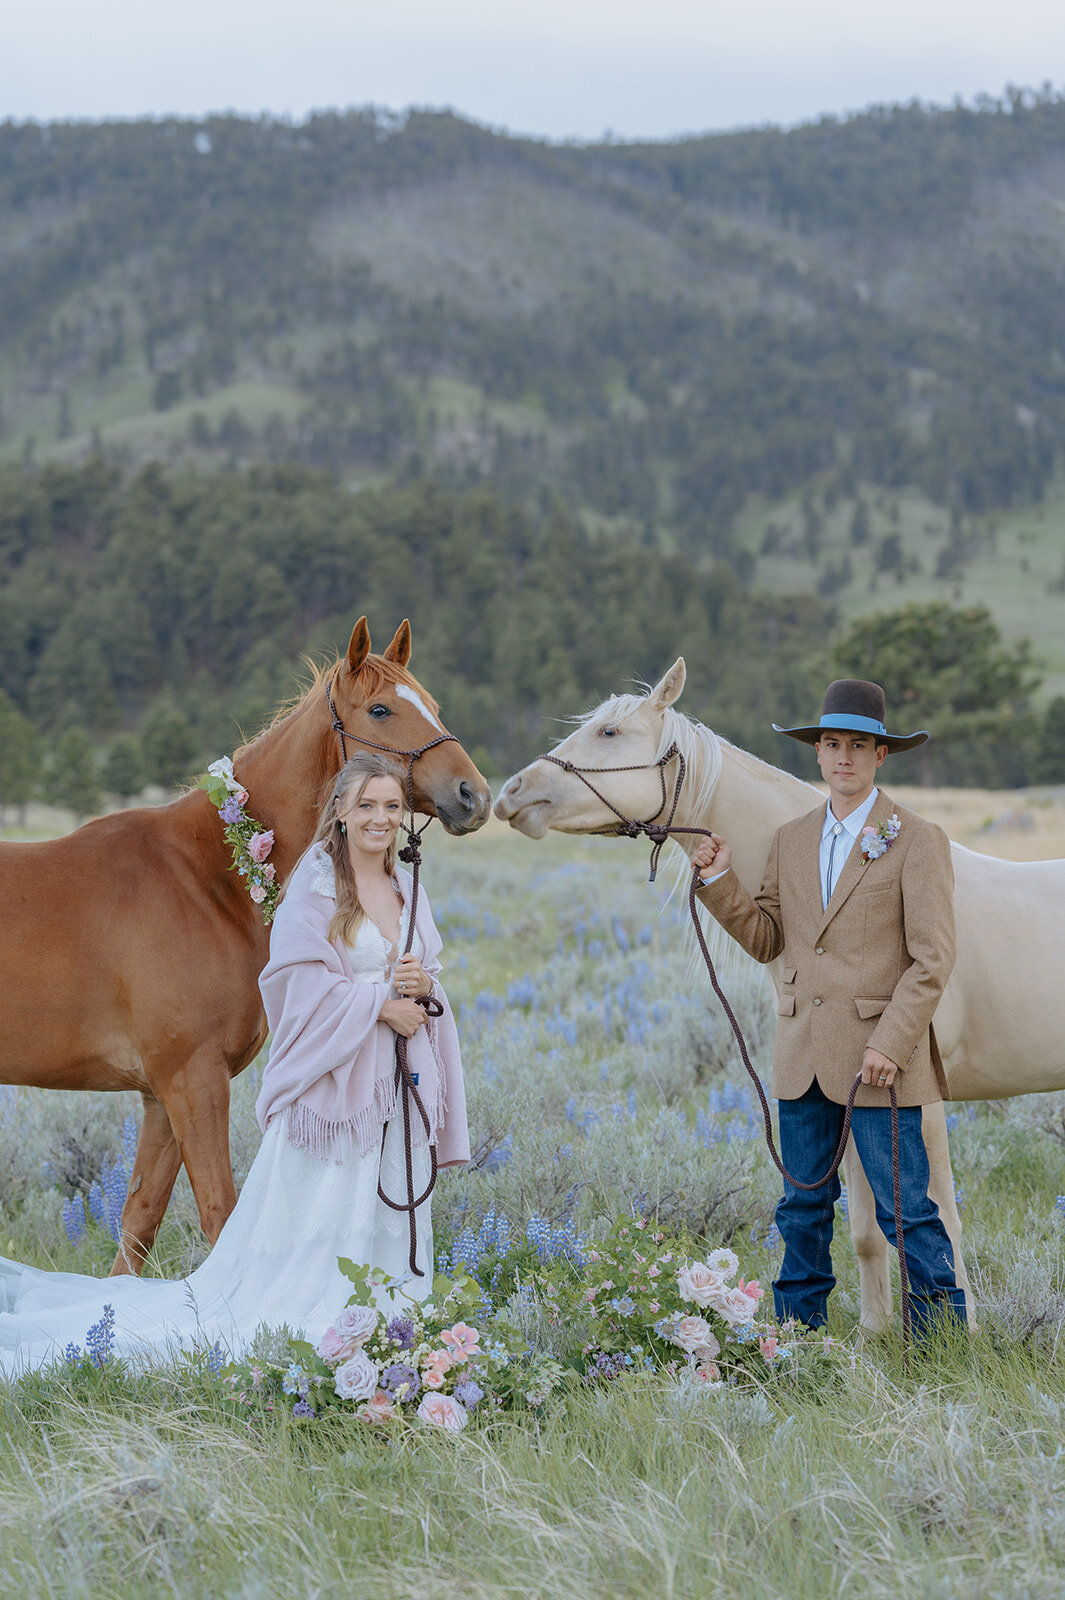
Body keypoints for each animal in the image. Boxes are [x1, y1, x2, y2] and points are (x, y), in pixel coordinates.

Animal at [0, 614, 489, 1273]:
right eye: (381, 709)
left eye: (432, 705)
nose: (474, 795)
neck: (209, 877)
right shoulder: (192, 1080)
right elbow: (220, 1219)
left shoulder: (159, 1095)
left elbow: (138, 1225)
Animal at [492, 656, 1061, 1331]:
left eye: (609, 732)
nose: (510, 794)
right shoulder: (849, 1094)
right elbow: (867, 1229)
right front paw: (874, 1336)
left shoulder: (916, 1098)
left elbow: (937, 1216)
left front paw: (960, 1334)